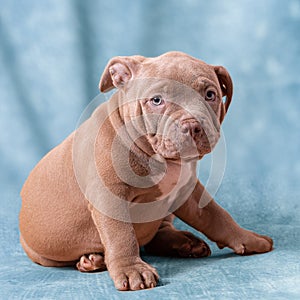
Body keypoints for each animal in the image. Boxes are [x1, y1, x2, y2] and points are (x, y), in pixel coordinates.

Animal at [19, 51, 274, 290]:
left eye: (210, 95)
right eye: (156, 100)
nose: (193, 125)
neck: (160, 157)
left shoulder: (189, 193)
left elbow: (218, 216)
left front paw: (248, 238)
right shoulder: (109, 197)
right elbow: (121, 236)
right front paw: (132, 270)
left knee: (157, 234)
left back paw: (185, 243)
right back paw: (92, 260)